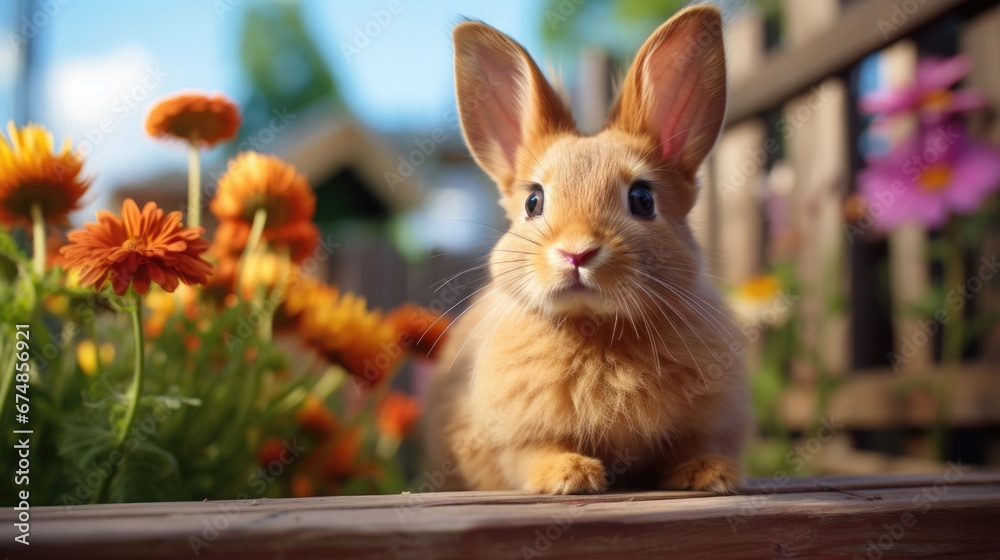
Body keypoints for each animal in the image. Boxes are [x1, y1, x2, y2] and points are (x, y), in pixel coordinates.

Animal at [424, 5, 750, 495]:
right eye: (533, 202)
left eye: (643, 199)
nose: (576, 254)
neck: (594, 327)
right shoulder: (512, 438)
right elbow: (531, 453)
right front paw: (569, 474)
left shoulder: (707, 422)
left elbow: (692, 445)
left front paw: (710, 473)